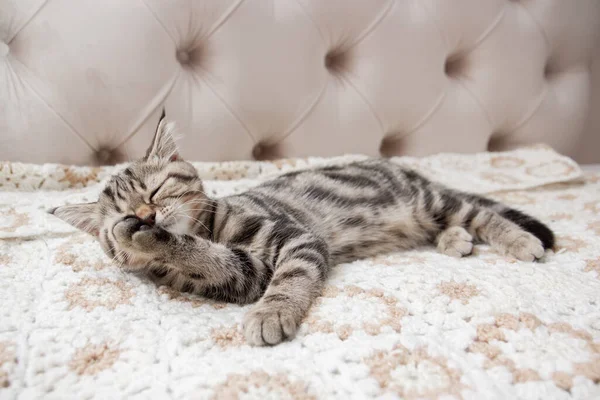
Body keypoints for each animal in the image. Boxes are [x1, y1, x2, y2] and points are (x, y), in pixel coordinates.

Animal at [49, 111, 556, 346]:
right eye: (121, 212)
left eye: (154, 191)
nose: (145, 217)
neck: (206, 227)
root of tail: (404, 169)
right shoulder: (242, 275)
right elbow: (214, 261)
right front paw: (147, 240)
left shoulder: (294, 237)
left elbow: (290, 278)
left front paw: (272, 314)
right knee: (449, 225)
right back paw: (455, 241)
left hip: (428, 202)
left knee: (480, 213)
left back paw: (520, 240)